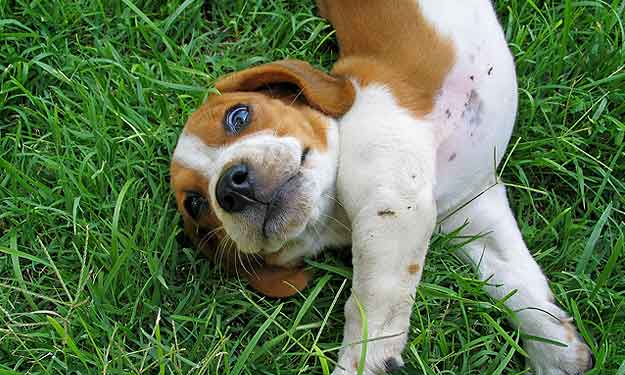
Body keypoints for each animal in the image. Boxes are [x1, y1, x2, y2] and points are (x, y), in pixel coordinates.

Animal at [169, 0, 588, 375]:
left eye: (238, 116)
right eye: (195, 205)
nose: (230, 187)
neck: (333, 212)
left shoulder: (392, 205)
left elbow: (369, 304)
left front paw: (362, 363)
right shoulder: (469, 210)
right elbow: (514, 283)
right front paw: (557, 351)